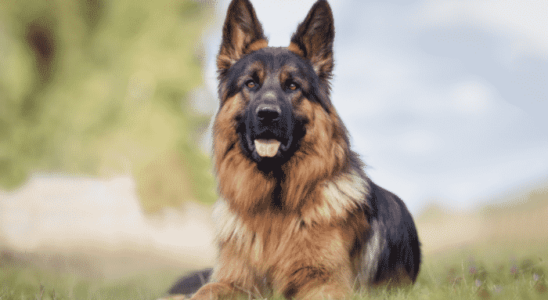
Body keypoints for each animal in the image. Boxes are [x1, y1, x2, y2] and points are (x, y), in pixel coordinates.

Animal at [165, 1, 422, 298]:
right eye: (250, 84)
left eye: (292, 86)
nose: (267, 114)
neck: (273, 208)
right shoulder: (232, 280)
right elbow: (204, 291)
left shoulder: (325, 281)